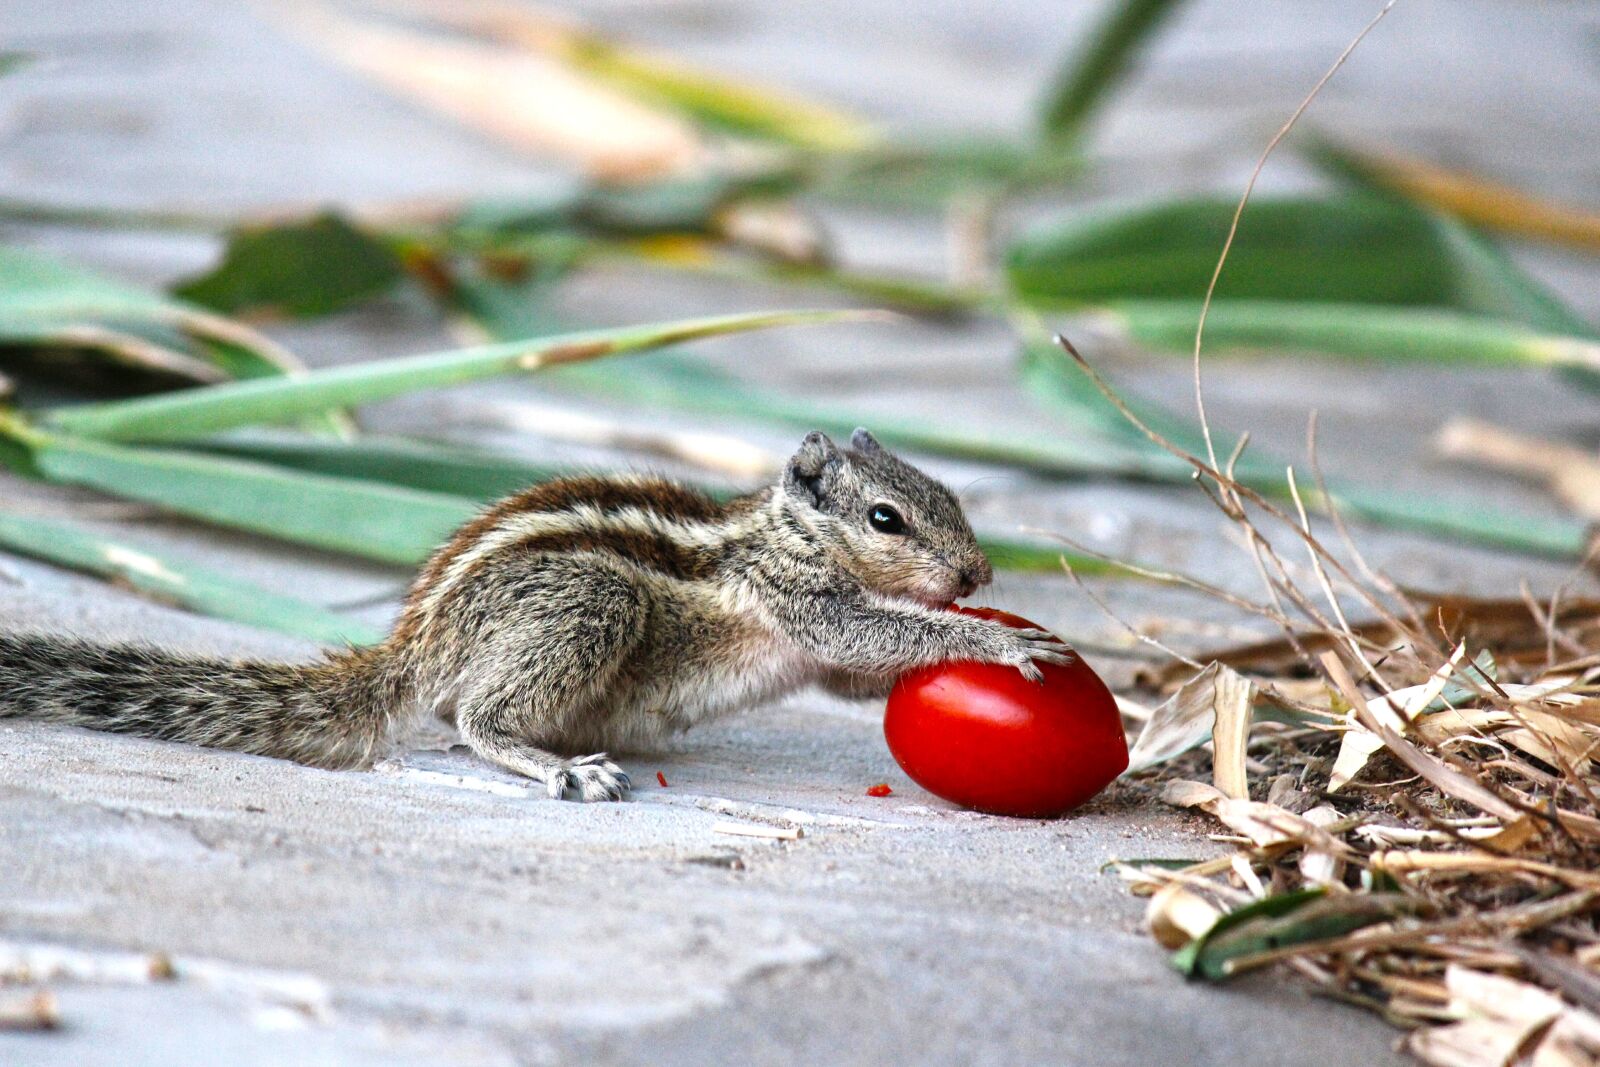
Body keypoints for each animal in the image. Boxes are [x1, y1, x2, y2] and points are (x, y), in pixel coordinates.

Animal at [0, 429, 1072, 801]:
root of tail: (414, 645)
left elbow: (856, 674)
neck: (784, 529)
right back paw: (557, 763)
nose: (978, 572)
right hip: (591, 601)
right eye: (888, 516)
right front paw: (994, 638)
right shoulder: (794, 597)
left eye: (949, 492)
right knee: (470, 718)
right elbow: (873, 631)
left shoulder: (818, 646)